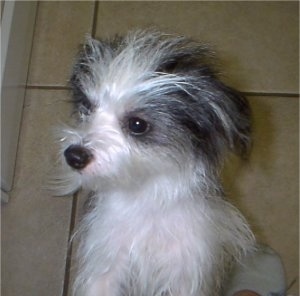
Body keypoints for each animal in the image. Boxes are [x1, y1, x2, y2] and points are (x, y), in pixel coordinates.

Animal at [54, 30, 255, 296]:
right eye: (87, 107)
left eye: (137, 125)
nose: (74, 156)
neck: (144, 195)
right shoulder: (105, 265)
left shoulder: (185, 272)